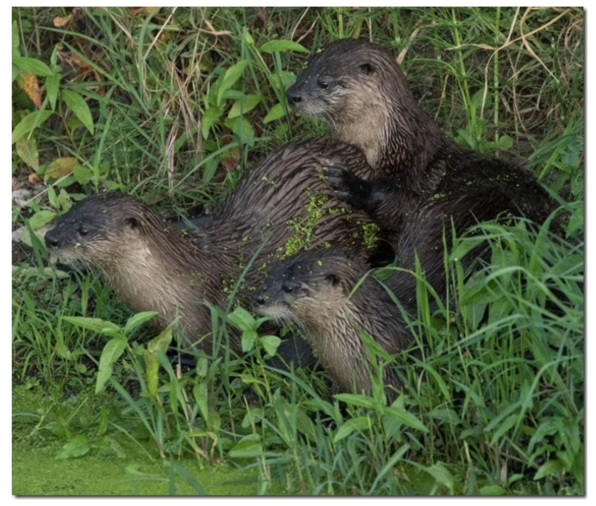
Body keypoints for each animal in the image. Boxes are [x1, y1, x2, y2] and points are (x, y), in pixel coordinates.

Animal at [286, 37, 556, 306]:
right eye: (303, 71)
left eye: (324, 82)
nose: (291, 95)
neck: (392, 144)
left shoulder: (415, 170)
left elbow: (398, 205)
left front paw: (348, 182)